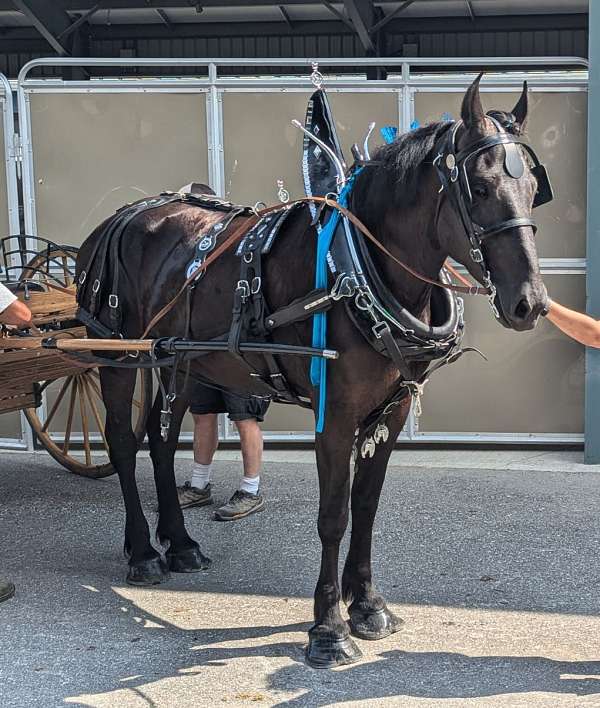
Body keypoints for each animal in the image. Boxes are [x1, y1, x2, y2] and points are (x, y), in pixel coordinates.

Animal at [75, 77, 548, 668]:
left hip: (182, 361)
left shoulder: (390, 413)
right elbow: (333, 517)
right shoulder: (335, 414)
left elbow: (365, 507)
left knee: (160, 441)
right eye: (480, 189)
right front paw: (328, 628)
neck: (356, 267)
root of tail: (126, 214)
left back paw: (180, 545)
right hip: (117, 354)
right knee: (122, 439)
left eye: (533, 188)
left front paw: (367, 604)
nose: (530, 303)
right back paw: (142, 552)